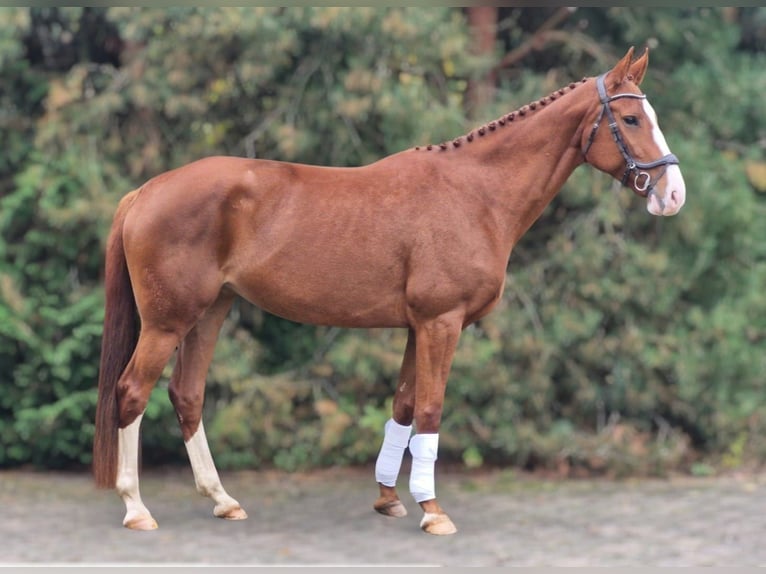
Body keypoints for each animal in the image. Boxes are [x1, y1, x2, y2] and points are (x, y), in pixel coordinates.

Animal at [93, 46, 685, 536]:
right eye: (631, 118)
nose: (673, 193)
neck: (476, 194)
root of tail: (145, 191)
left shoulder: (417, 327)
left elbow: (402, 405)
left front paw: (389, 499)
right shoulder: (441, 322)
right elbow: (430, 409)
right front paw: (433, 510)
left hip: (210, 312)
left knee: (186, 395)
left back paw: (222, 500)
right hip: (168, 321)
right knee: (132, 392)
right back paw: (136, 508)